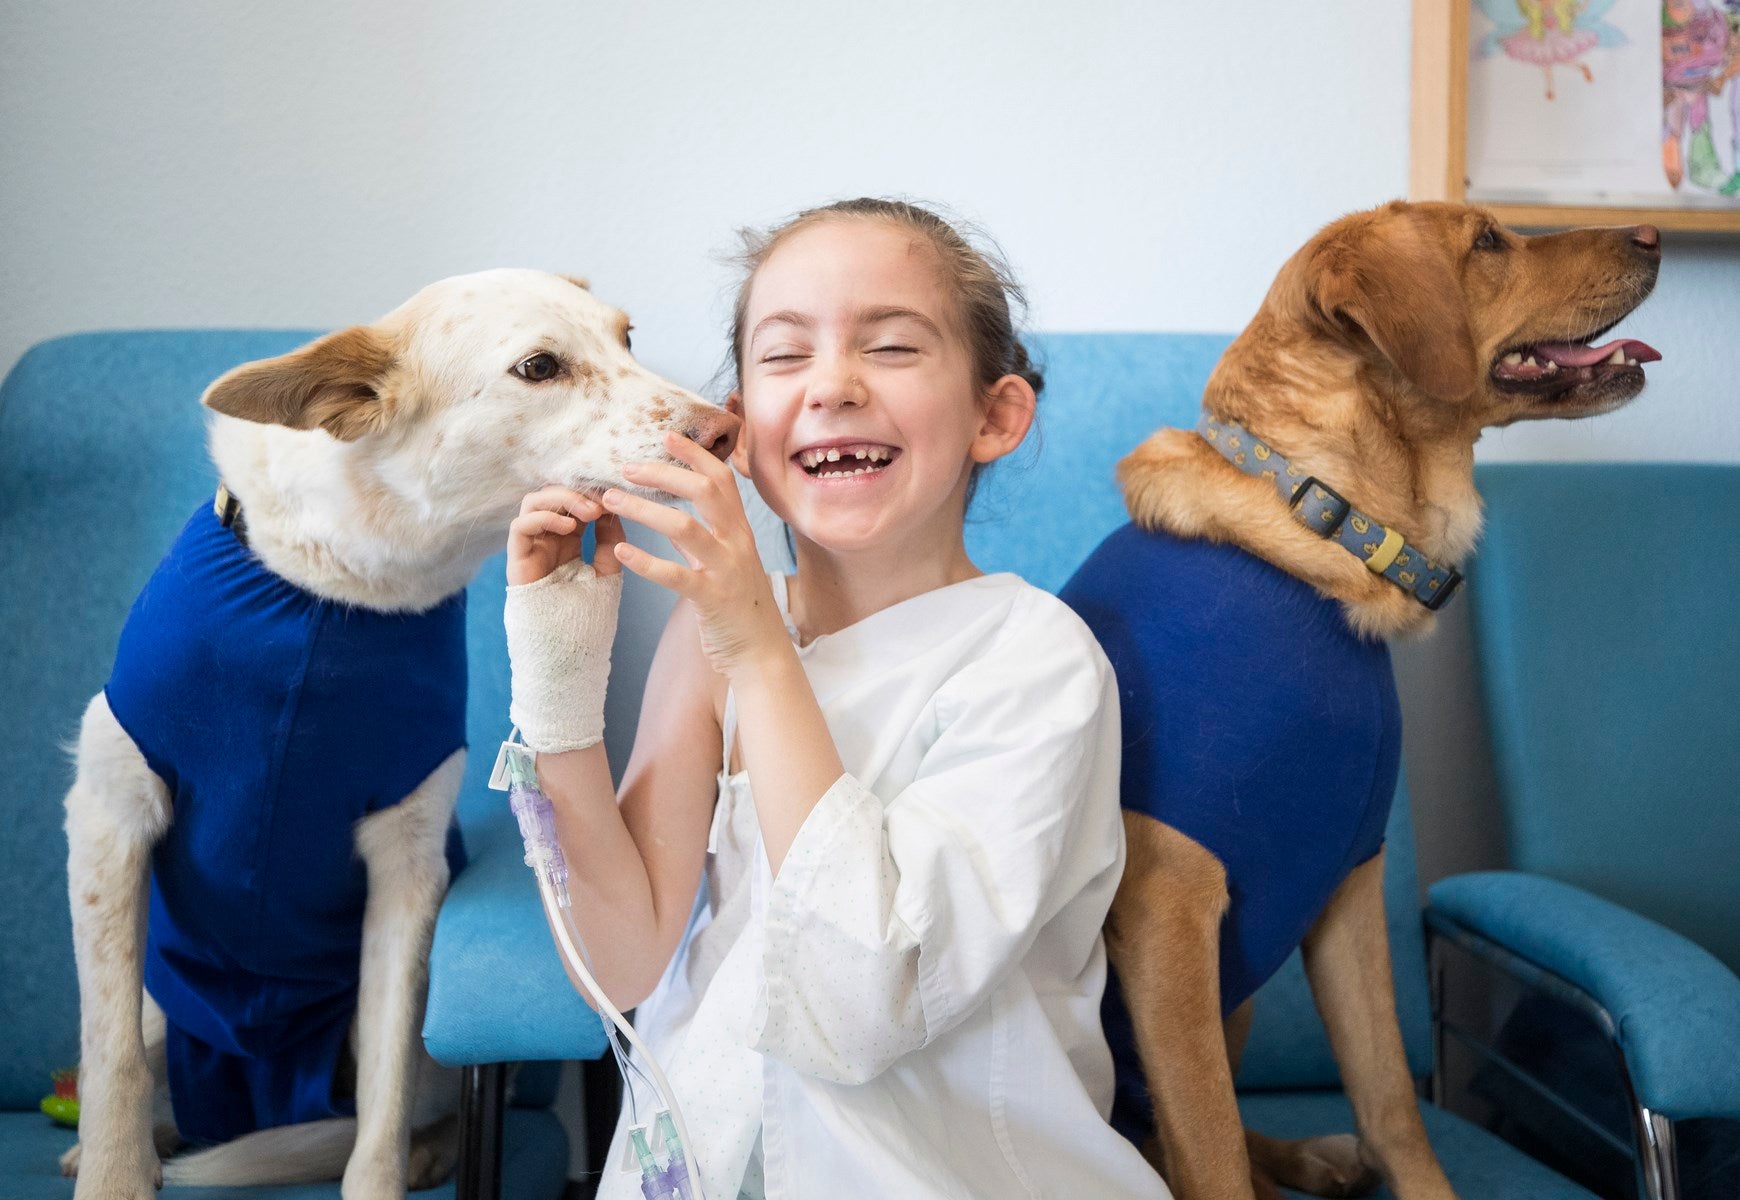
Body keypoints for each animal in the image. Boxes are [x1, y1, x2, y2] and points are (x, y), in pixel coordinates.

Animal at [61, 271, 737, 1196]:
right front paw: (113, 1174)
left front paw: (382, 1175)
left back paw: (424, 1153)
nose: (726, 431)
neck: (338, 591)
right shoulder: (109, 818)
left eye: (625, 338)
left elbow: (382, 1092)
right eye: (539, 366)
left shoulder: (407, 867)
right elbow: (111, 1055)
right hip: (169, 1009)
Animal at [1085, 205, 1656, 1196]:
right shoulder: (1169, 913)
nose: (1656, 236)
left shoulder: (1350, 883)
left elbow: (1389, 1098)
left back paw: (1313, 1160)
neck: (1325, 515)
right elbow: (1212, 1154)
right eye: (1490, 241)